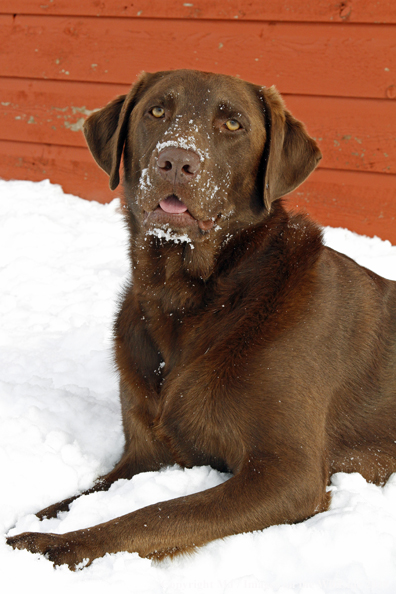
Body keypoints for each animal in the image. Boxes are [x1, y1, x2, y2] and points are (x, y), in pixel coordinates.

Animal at [6, 67, 396, 568]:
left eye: (232, 125)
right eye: (156, 111)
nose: (176, 161)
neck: (187, 300)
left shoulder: (287, 471)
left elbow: (152, 516)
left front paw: (50, 546)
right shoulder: (143, 454)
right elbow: (71, 499)